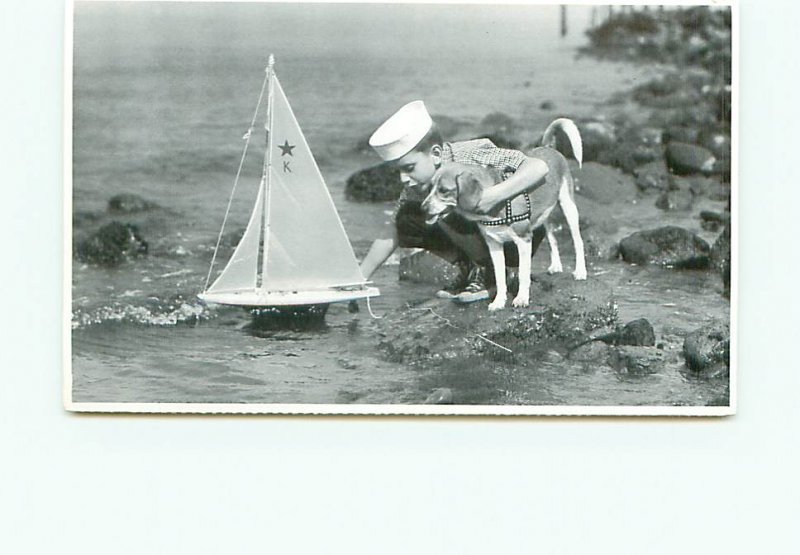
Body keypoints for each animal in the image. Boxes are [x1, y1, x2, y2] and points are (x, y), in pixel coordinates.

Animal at [422, 118, 584, 310]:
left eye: (444, 190)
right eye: (430, 187)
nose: (423, 208)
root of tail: (548, 147)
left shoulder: (524, 240)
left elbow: (523, 274)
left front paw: (521, 299)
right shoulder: (494, 245)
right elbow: (500, 278)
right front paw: (498, 301)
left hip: (568, 207)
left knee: (578, 242)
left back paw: (580, 271)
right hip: (545, 216)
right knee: (552, 238)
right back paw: (556, 265)